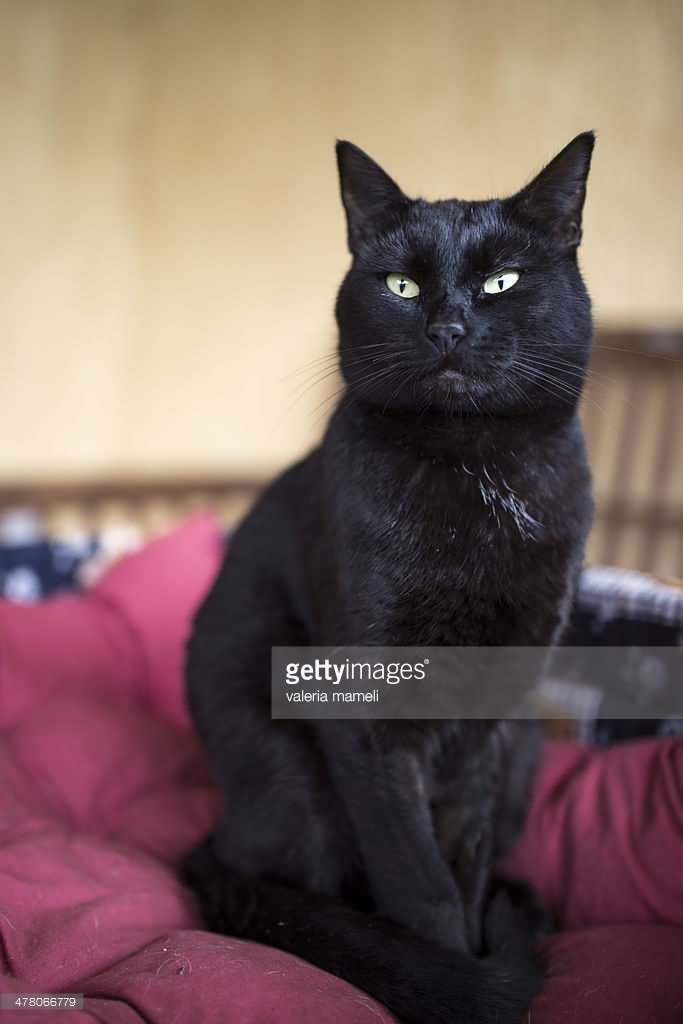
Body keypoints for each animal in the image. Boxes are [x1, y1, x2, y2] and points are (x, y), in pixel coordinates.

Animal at [184, 134, 593, 1024]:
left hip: (525, 753)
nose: (446, 326)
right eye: (400, 286)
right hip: (289, 770)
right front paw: (450, 978)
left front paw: (471, 949)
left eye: (502, 281)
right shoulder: (367, 713)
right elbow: (421, 884)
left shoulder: (488, 725)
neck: (478, 472)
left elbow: (464, 865)